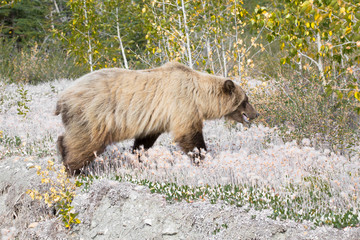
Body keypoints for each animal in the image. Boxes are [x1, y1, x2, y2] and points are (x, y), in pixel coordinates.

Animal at [54, 62, 258, 172]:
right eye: (246, 100)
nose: (255, 114)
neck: (200, 96)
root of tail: (62, 97)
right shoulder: (183, 105)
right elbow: (189, 135)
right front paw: (202, 158)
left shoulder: (155, 118)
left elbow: (144, 140)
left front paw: (138, 158)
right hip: (93, 114)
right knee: (84, 142)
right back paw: (73, 168)